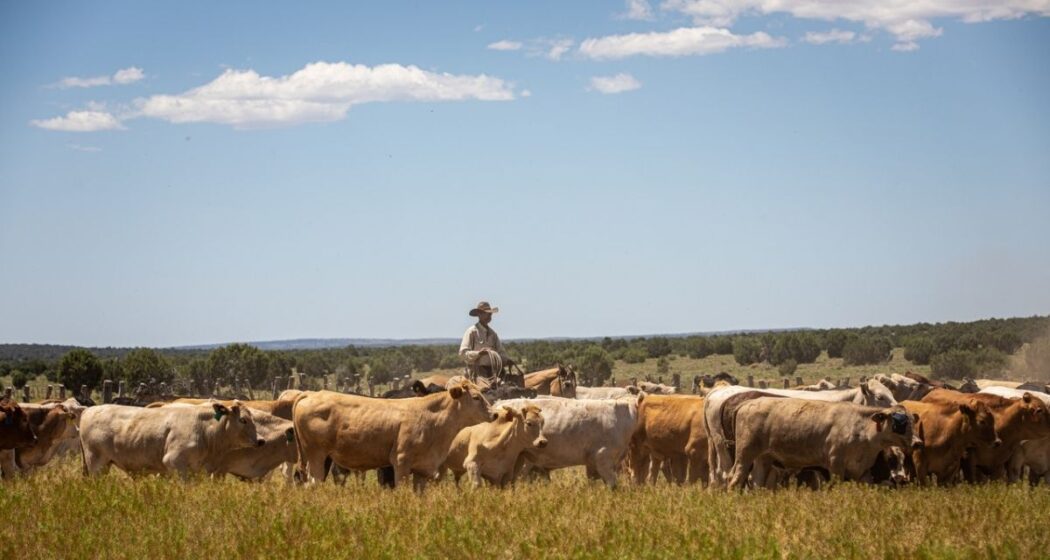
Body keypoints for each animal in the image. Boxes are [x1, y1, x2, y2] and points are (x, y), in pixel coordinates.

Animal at [291, 380, 491, 489]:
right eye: (476, 397)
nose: (494, 414)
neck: (429, 416)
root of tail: (309, 394)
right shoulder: (399, 463)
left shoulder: (422, 469)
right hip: (316, 457)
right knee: (314, 481)